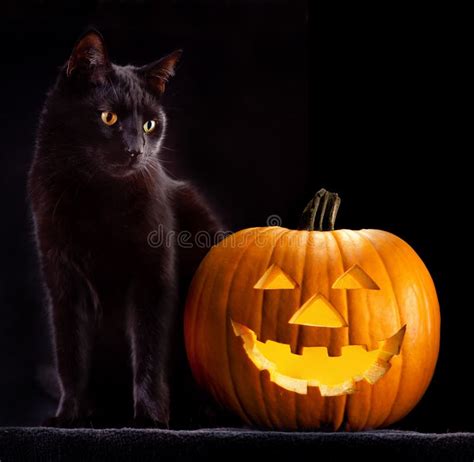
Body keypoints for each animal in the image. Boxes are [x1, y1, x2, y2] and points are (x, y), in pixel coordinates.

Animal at [28, 29, 221, 430]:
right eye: (108, 117)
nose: (135, 150)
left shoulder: (153, 276)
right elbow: (70, 352)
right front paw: (69, 415)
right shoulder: (62, 280)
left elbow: (149, 348)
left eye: (149, 124)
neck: (97, 193)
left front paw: (150, 417)